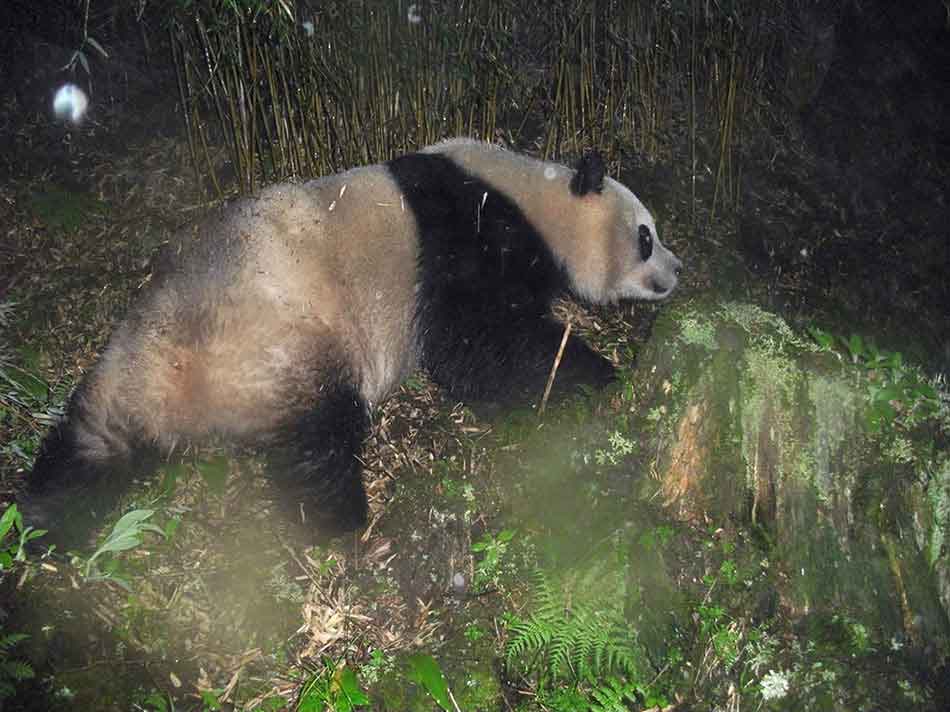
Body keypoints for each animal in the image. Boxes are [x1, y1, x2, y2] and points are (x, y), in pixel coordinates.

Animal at [22, 140, 684, 552]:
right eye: (646, 237)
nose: (678, 271)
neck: (532, 198)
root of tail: (191, 391)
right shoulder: (462, 235)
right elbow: (473, 341)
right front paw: (595, 374)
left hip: (133, 362)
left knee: (89, 443)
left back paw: (41, 524)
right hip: (285, 344)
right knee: (318, 437)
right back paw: (341, 521)